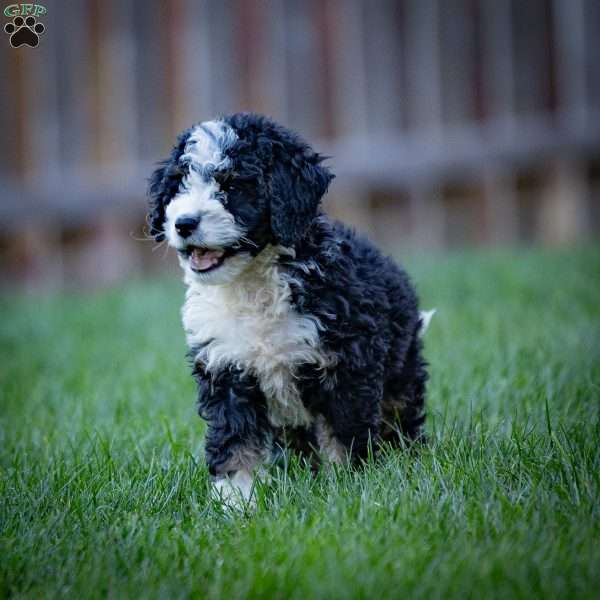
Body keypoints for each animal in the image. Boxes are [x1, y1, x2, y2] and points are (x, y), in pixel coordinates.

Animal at [149, 113, 432, 506]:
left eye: (232, 184)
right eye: (179, 182)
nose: (184, 223)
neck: (252, 284)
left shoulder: (347, 366)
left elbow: (344, 433)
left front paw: (349, 486)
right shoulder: (226, 368)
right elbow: (236, 439)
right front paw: (235, 500)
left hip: (400, 372)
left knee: (400, 418)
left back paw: (407, 459)